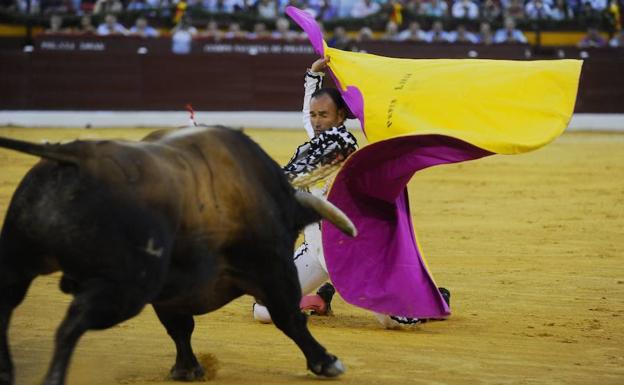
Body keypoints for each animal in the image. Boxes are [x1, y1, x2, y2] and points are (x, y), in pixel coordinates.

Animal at [0, 126, 356, 384]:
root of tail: (76, 154)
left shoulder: (172, 292)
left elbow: (180, 327)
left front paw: (187, 370)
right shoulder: (273, 269)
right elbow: (289, 318)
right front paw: (327, 362)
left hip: (19, 261)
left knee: (7, 305)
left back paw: (7, 372)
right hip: (126, 289)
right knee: (71, 324)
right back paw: (51, 377)